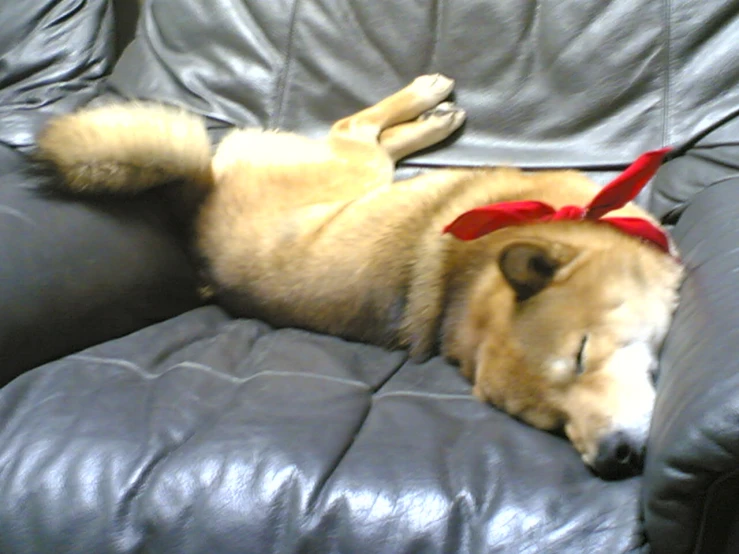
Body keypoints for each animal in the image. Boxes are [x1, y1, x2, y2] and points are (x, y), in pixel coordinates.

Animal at [34, 75, 684, 476]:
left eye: (580, 356)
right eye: (551, 423)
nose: (613, 458)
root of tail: (197, 198)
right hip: (355, 167)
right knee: (354, 128)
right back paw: (430, 104)